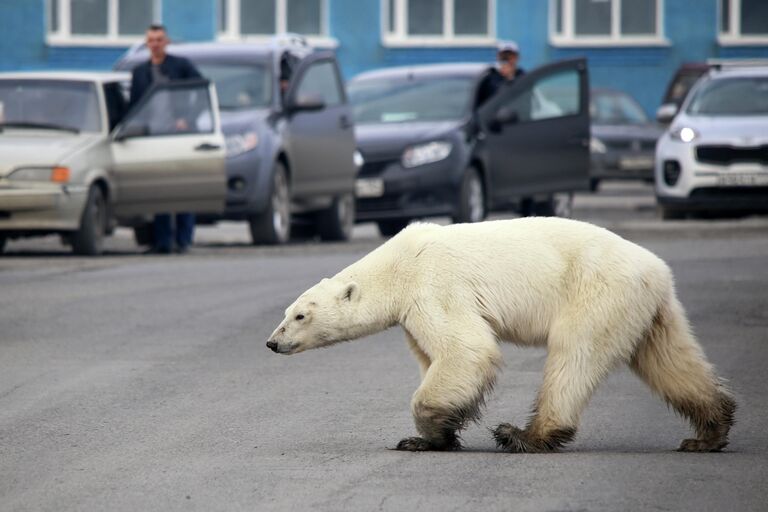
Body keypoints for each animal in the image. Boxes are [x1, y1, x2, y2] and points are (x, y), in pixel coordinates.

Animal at [268, 217, 736, 452]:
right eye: (287, 312)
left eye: (300, 315)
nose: (272, 342)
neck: (397, 264)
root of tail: (657, 270)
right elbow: (433, 357)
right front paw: (431, 437)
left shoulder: (434, 286)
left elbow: (467, 350)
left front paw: (428, 433)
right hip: (648, 309)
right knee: (670, 360)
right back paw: (708, 433)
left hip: (597, 291)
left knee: (573, 355)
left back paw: (524, 434)